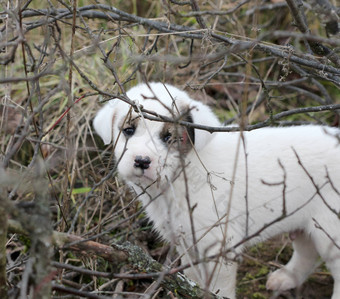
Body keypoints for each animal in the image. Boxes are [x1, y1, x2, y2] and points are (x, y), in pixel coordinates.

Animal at [93, 82, 340, 299]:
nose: (142, 161)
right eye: (128, 130)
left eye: (168, 137)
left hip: (330, 229)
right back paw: (286, 278)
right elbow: (193, 278)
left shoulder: (219, 248)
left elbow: (217, 287)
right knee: (306, 252)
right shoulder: (188, 244)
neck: (184, 171)